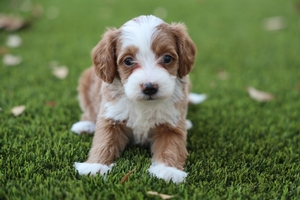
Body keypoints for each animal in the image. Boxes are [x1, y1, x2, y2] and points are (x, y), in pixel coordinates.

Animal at [70, 14, 204, 184]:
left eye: (167, 58)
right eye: (128, 61)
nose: (150, 87)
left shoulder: (172, 124)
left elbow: (172, 146)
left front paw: (168, 171)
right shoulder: (110, 116)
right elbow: (103, 141)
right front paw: (95, 166)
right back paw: (85, 124)